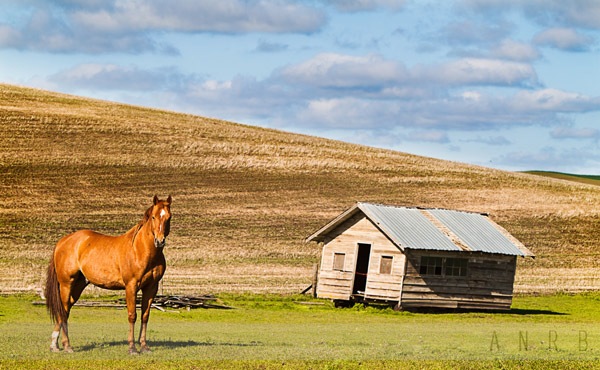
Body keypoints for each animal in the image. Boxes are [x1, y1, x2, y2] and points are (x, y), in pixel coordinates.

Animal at [44, 195, 171, 354]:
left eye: (169, 217)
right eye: (154, 217)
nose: (160, 241)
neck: (140, 250)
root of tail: (63, 241)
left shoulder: (151, 287)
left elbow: (145, 316)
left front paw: (144, 346)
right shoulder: (131, 286)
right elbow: (132, 315)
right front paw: (132, 348)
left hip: (78, 285)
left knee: (64, 311)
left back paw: (54, 345)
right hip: (66, 284)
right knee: (63, 310)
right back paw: (67, 346)